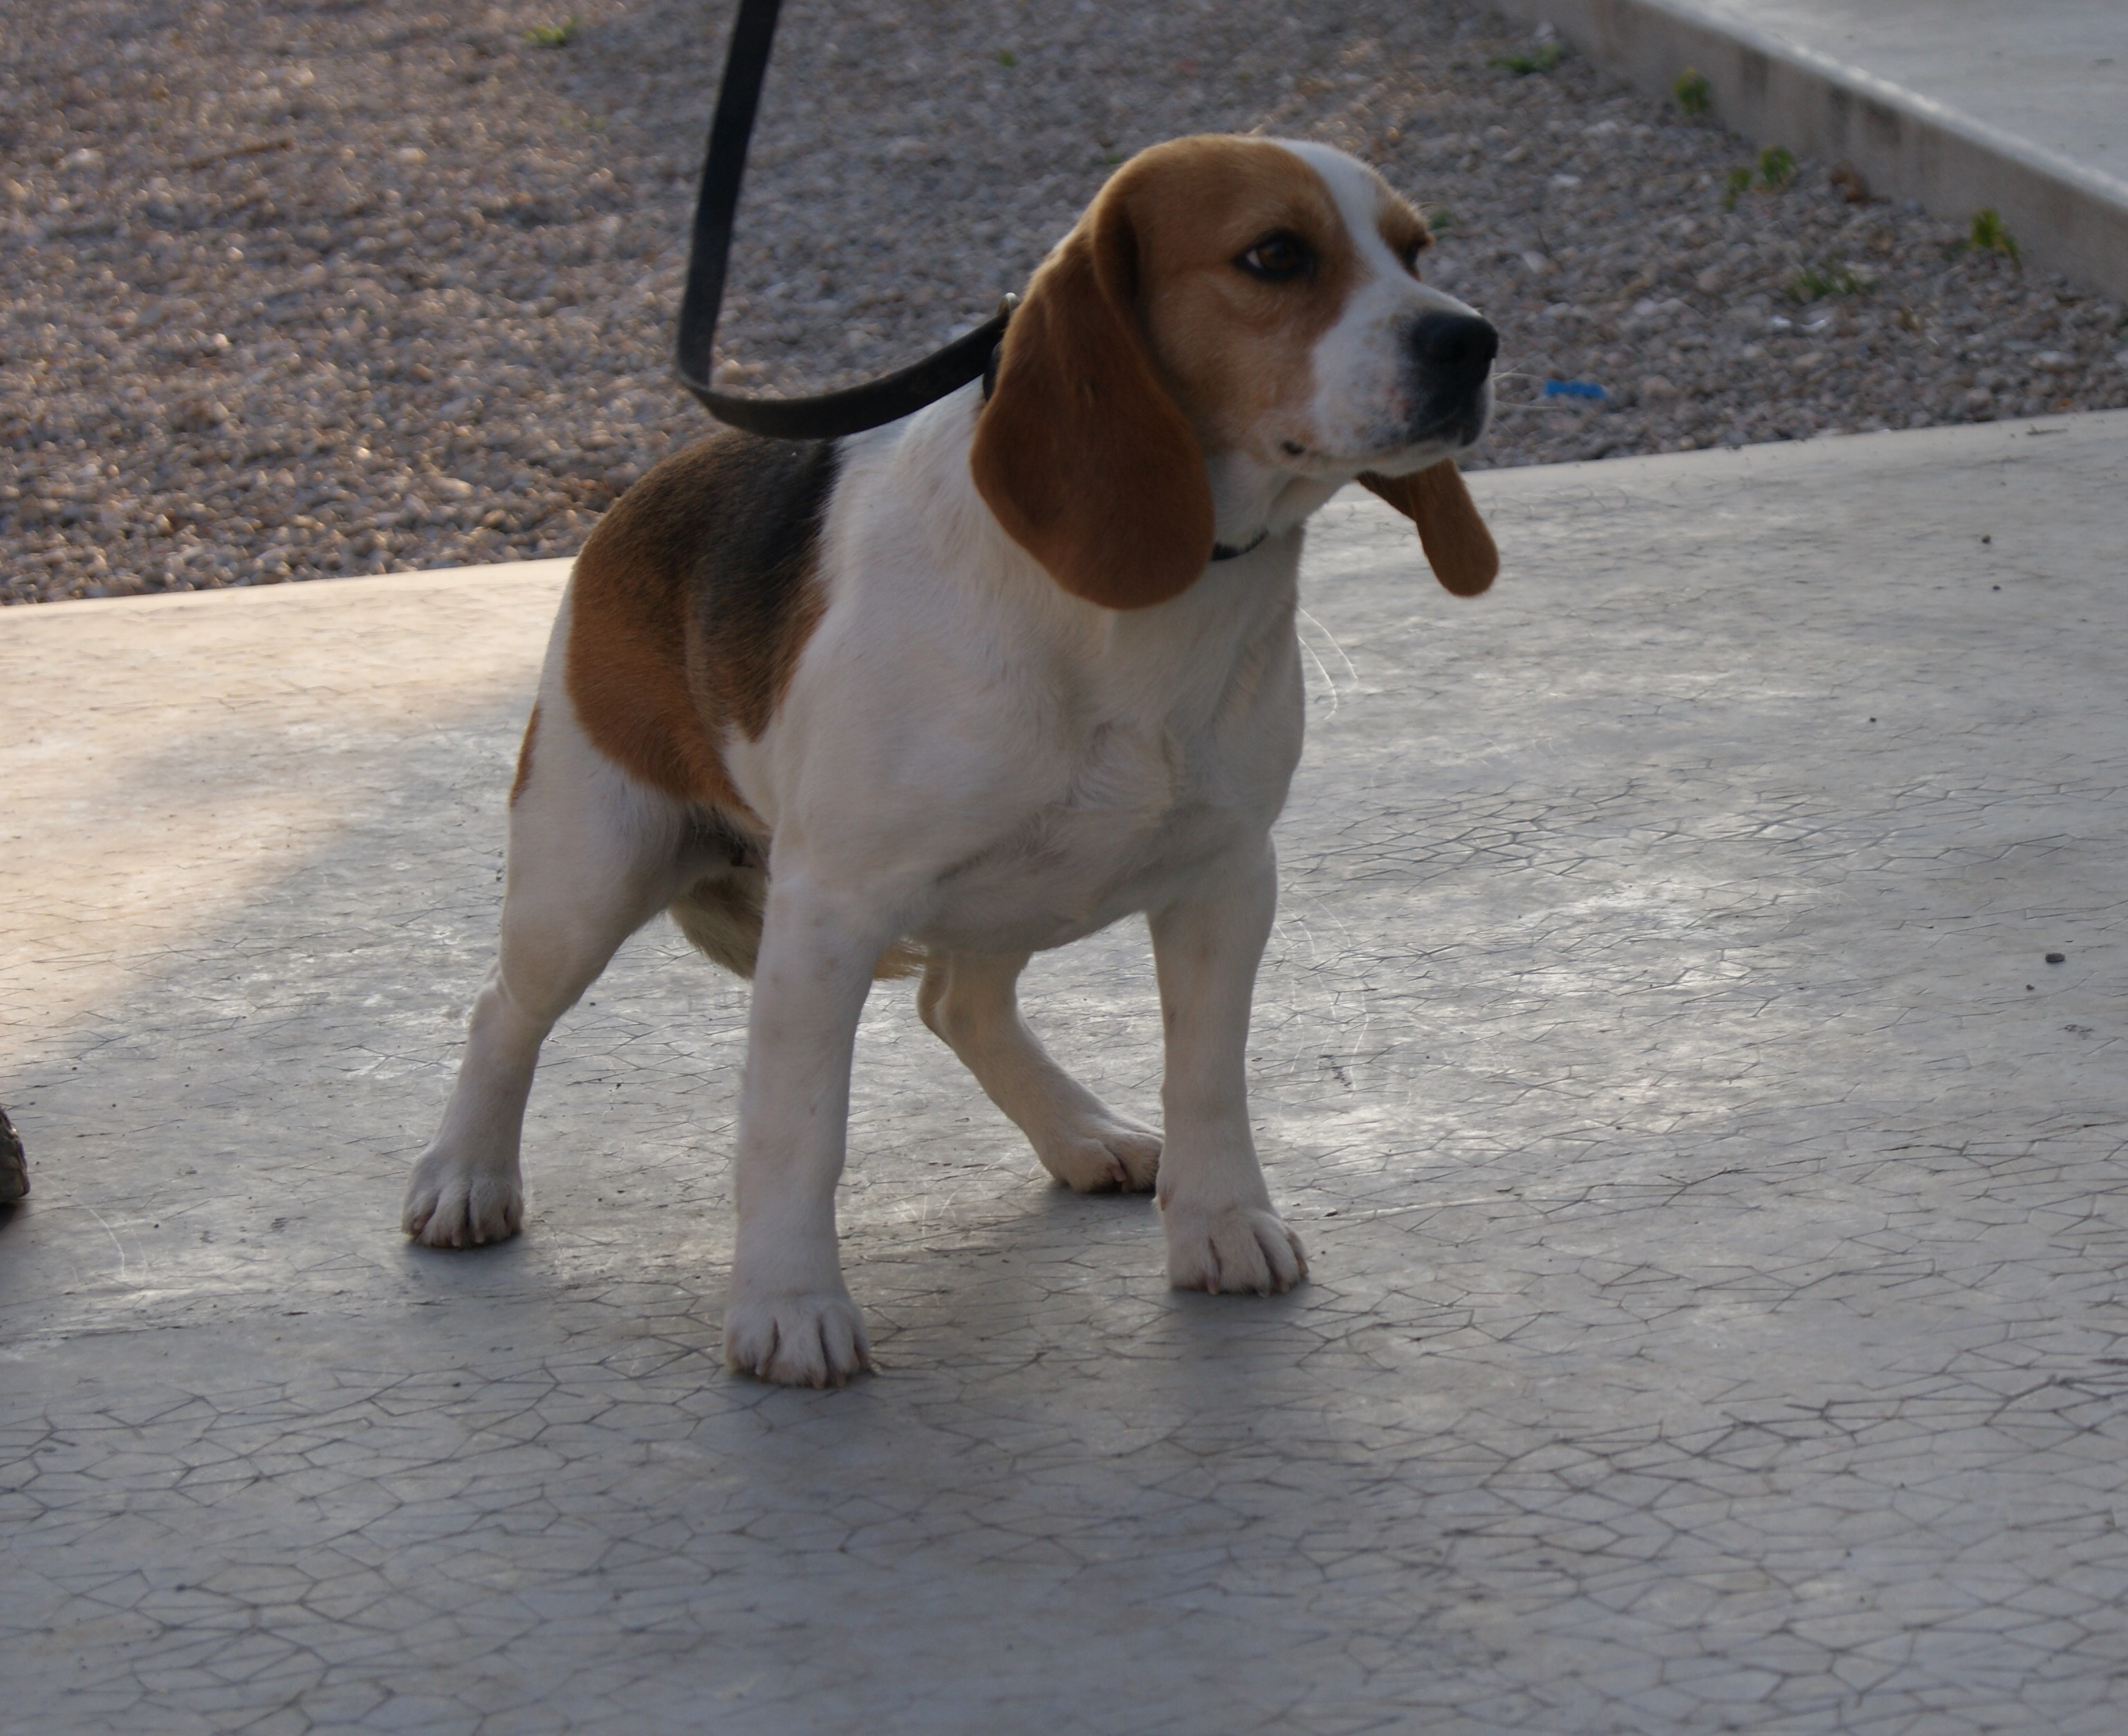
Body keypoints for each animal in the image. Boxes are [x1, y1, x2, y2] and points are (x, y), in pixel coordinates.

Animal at [400, 132, 1498, 1387]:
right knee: (502, 1011)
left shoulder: (1227, 880)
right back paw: (467, 1175)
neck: (1139, 611)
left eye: (1417, 251)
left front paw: (1219, 1223)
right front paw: (788, 1306)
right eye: (1275, 255)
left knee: (956, 1003)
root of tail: (636, 498)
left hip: (1008, 888)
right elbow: (795, 1132)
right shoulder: (828, 913)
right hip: (585, 879)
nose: (1471, 340)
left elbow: (1208, 1078)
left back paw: (1078, 1130)